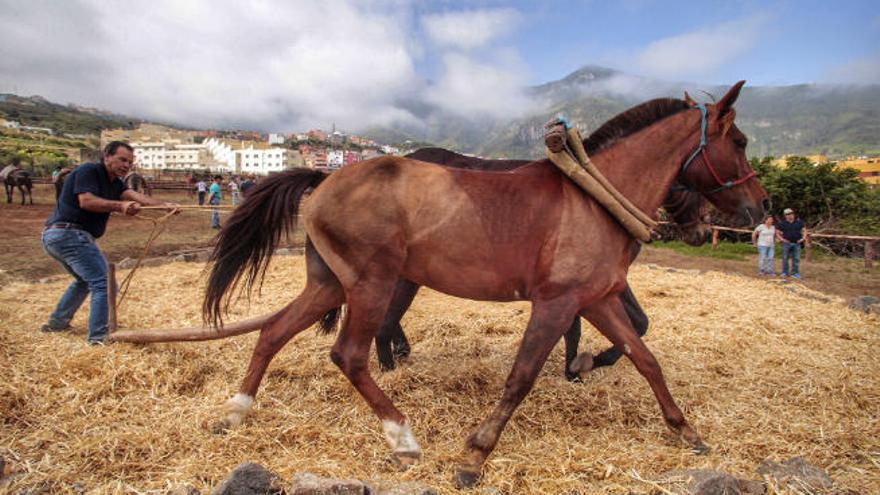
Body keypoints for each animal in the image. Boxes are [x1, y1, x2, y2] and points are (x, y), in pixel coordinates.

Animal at [374, 146, 712, 380]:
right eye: (687, 185)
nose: (703, 233)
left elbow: (639, 323)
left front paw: (586, 364)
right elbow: (580, 328)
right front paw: (578, 369)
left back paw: (401, 351)